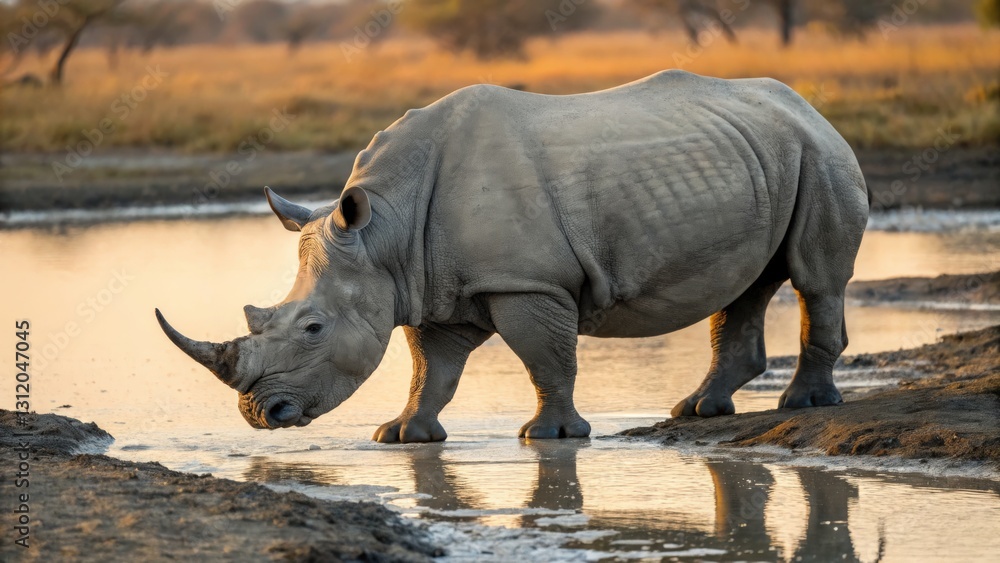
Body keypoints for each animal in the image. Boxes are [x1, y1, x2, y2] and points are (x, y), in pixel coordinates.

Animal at [156, 70, 869, 442]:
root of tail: (807, 103)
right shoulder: (429, 284)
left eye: (312, 328)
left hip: (820, 154)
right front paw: (403, 436)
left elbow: (544, 357)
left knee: (815, 277)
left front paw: (549, 437)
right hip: (762, 153)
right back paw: (698, 412)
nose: (260, 415)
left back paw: (803, 405)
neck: (384, 229)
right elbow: (431, 369)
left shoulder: (527, 281)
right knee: (745, 285)